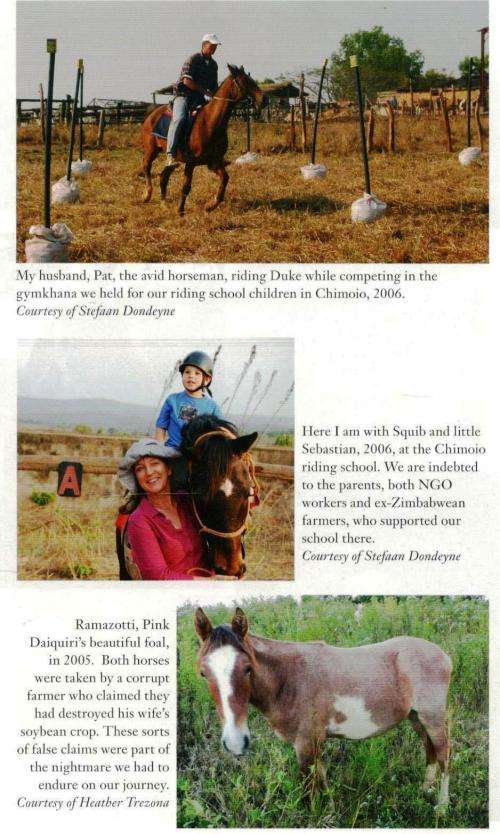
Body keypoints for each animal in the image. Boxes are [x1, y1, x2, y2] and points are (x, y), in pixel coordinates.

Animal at [140, 65, 263, 214]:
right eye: (244, 81)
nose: (264, 99)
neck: (210, 122)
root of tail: (152, 114)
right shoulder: (191, 163)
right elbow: (186, 187)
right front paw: (180, 210)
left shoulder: (214, 162)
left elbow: (225, 179)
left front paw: (210, 205)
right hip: (151, 150)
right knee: (146, 166)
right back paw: (147, 194)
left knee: (164, 175)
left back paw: (164, 203)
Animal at [194, 607, 452, 810]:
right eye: (203, 673)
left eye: (248, 668)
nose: (235, 743)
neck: (288, 678)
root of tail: (444, 655)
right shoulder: (314, 743)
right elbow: (322, 778)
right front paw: (330, 809)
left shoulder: (305, 744)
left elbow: (309, 788)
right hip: (415, 717)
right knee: (429, 749)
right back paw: (425, 790)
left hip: (432, 717)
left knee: (443, 754)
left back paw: (441, 806)